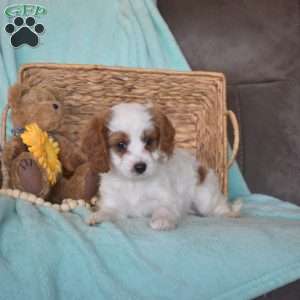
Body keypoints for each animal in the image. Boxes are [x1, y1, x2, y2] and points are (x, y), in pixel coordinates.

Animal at [82, 102, 241, 231]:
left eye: (148, 141)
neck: (134, 183)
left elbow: (164, 209)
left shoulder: (166, 198)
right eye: (121, 145)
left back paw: (230, 213)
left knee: (218, 205)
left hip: (204, 199)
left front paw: (162, 220)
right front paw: (97, 216)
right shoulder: (114, 203)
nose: (140, 167)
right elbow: (109, 210)